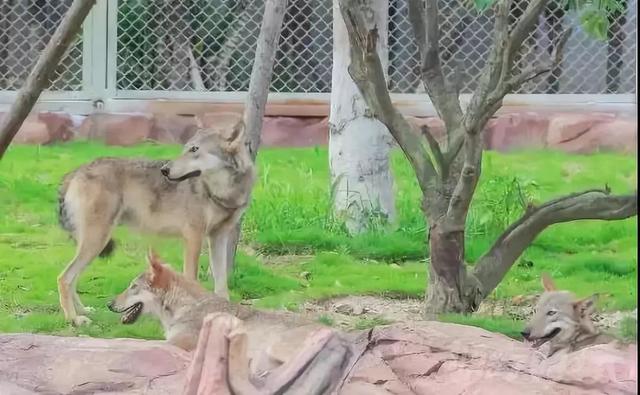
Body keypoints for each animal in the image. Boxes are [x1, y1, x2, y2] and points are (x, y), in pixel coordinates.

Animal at [56, 113, 254, 326]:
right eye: (186, 148)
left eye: (194, 149)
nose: (165, 170)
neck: (222, 193)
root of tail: (75, 172)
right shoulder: (193, 236)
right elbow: (192, 279)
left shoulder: (219, 237)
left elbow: (221, 283)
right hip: (97, 241)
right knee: (64, 278)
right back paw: (74, 319)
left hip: (93, 243)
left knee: (72, 277)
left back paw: (83, 311)